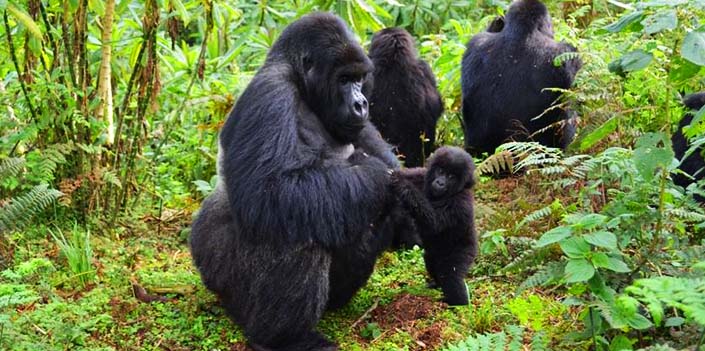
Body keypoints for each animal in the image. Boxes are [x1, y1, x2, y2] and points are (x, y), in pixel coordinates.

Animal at [190, 12, 402, 351]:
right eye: (344, 79)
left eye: (359, 78)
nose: (361, 103)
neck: (304, 89)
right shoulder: (271, 93)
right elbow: (270, 191)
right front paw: (377, 174)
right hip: (215, 269)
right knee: (295, 226)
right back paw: (284, 338)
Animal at [390, 147, 478, 306]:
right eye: (441, 171)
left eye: (451, 176)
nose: (440, 182)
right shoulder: (421, 175)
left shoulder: (459, 203)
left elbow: (433, 222)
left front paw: (402, 184)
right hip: (433, 255)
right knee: (432, 264)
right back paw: (436, 284)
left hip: (465, 251)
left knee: (451, 275)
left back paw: (459, 305)